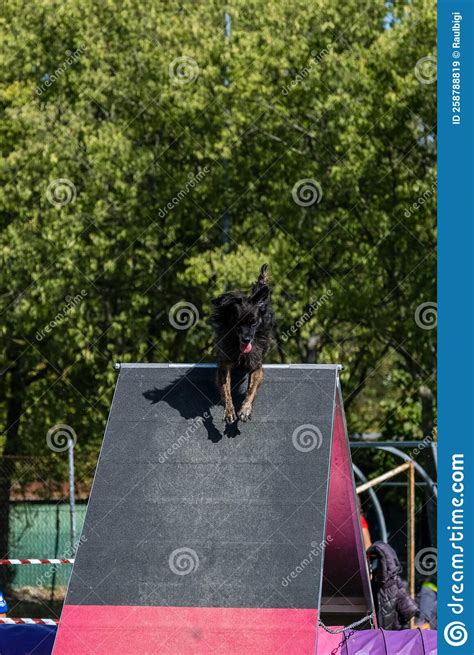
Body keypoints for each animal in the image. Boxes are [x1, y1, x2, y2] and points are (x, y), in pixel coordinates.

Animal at [212, 264, 274, 422]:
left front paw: (245, 409)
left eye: (253, 323)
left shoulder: (256, 366)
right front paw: (229, 411)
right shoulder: (224, 365)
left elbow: (251, 390)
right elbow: (226, 391)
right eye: (238, 323)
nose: (246, 339)